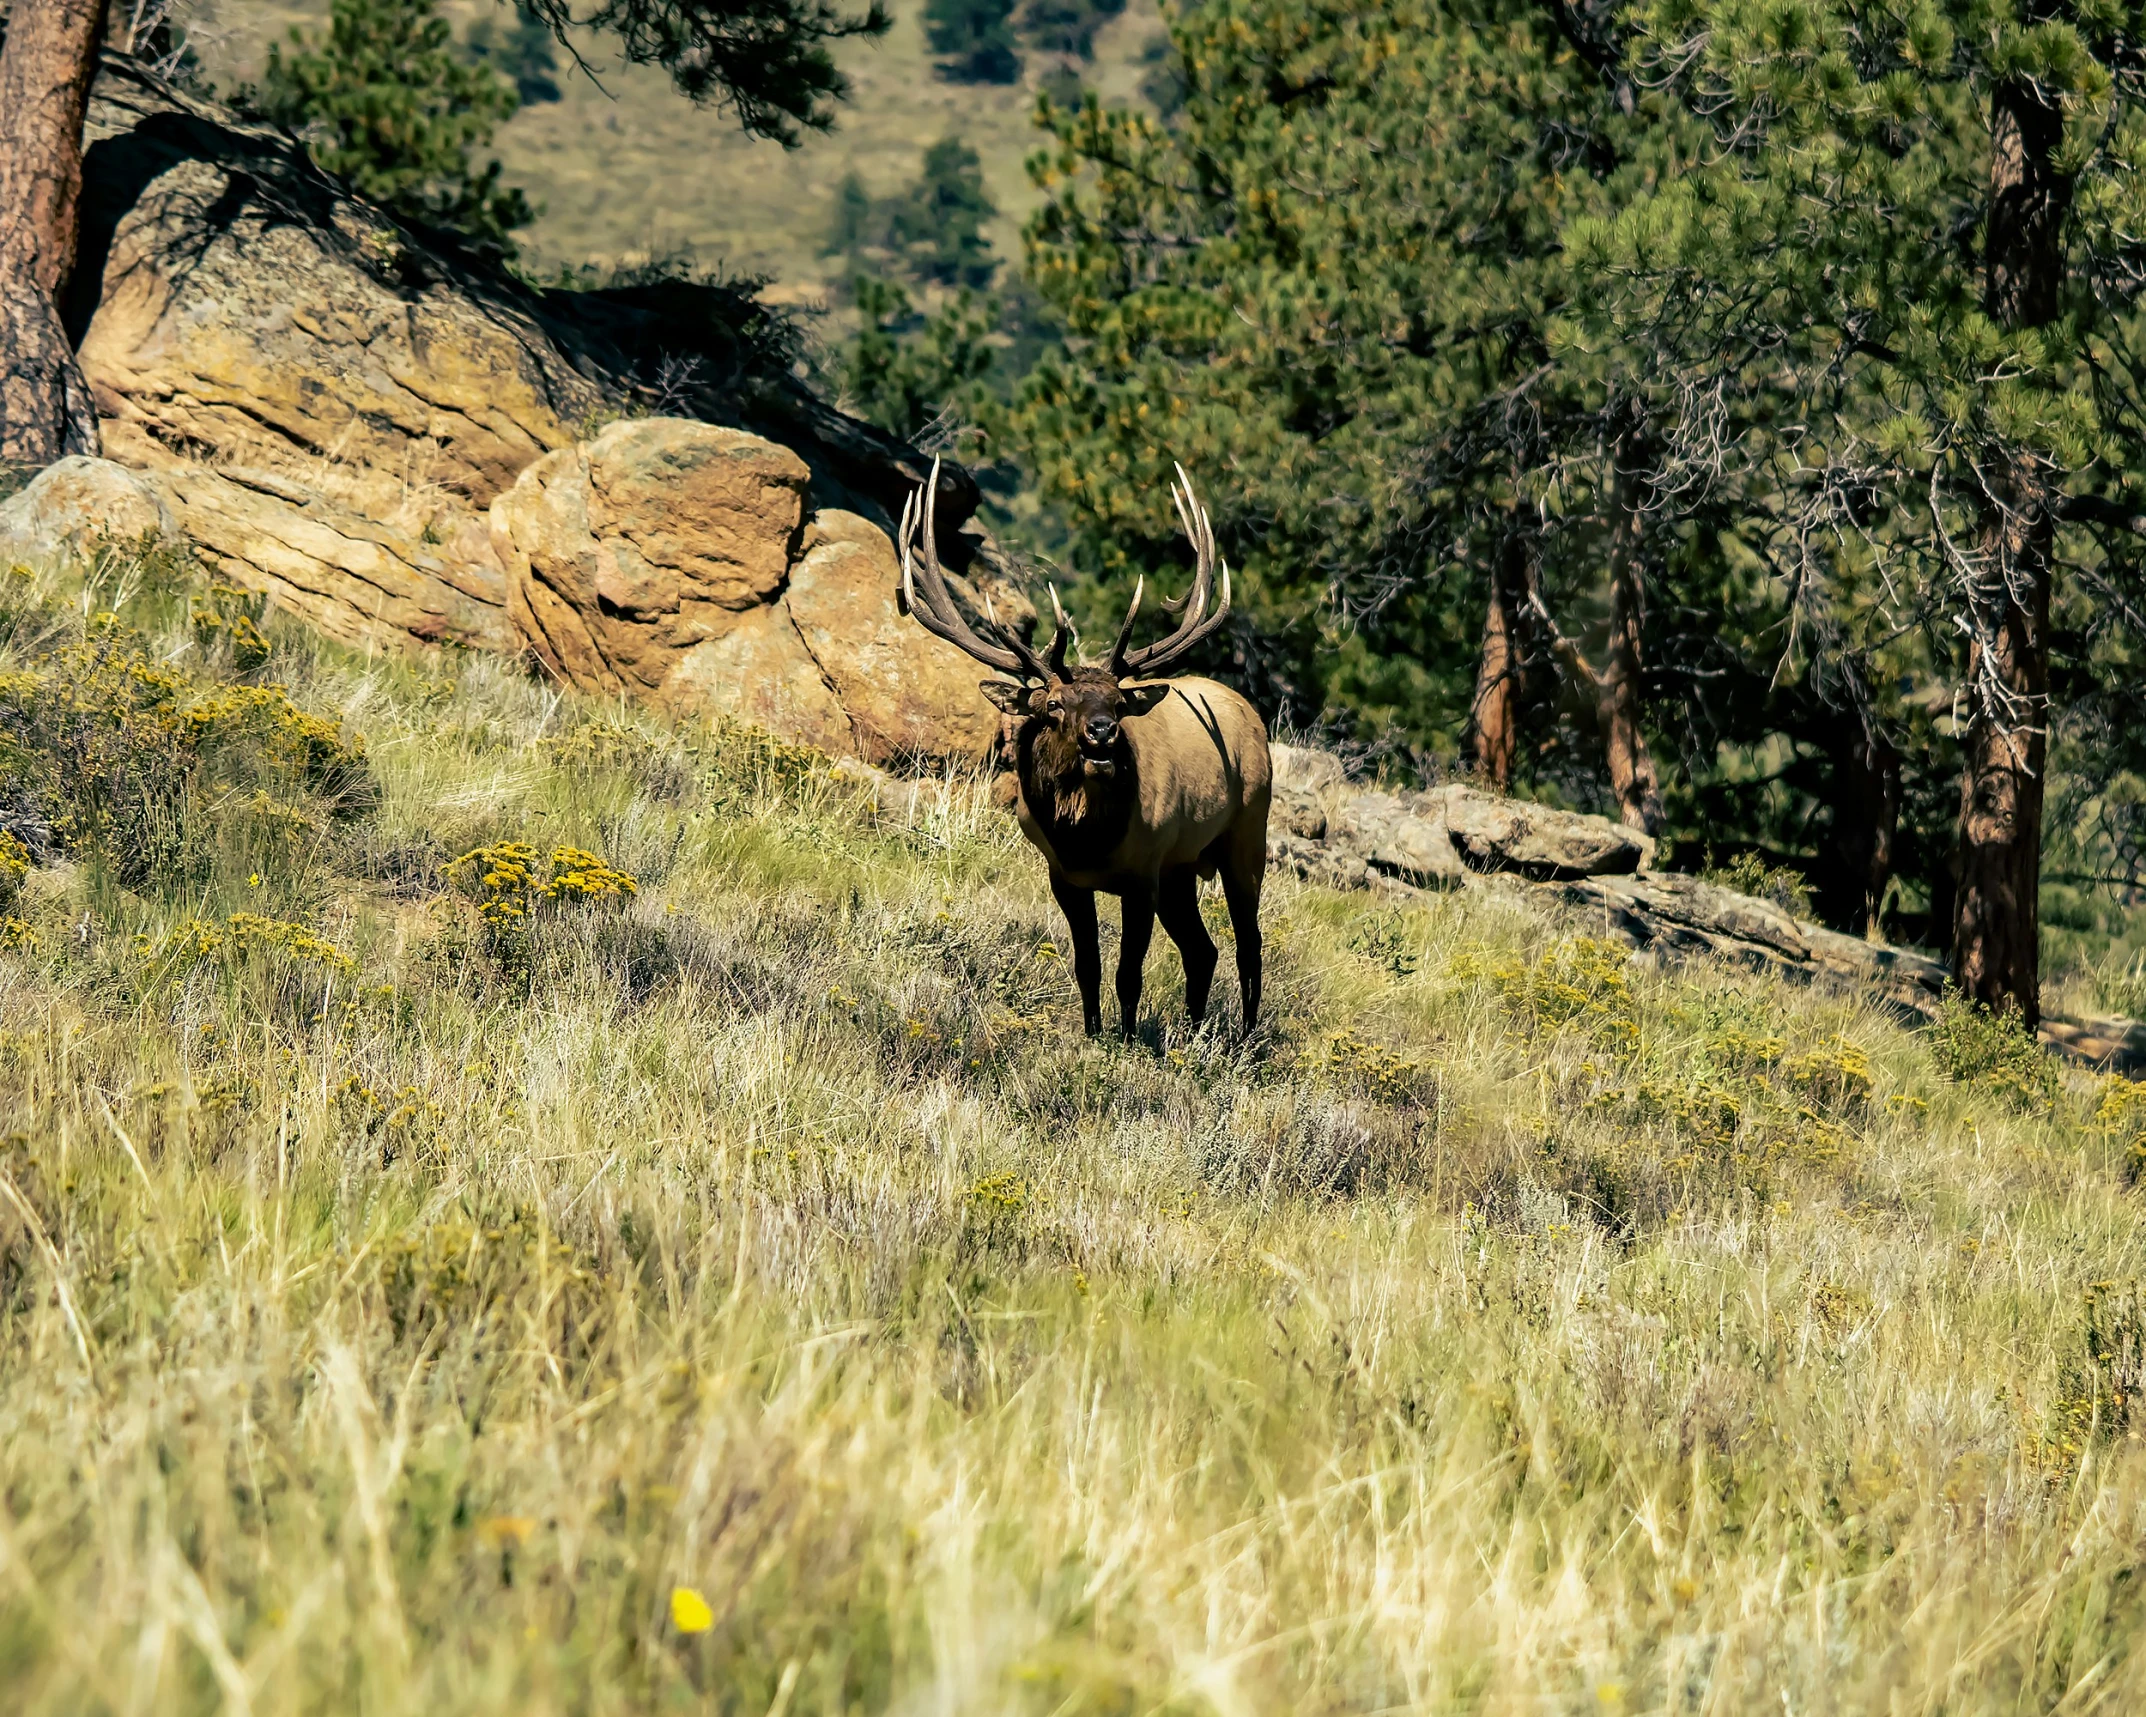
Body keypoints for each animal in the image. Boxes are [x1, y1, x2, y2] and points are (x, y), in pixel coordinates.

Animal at [897, 455, 1261, 1038]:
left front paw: (1127, 1041)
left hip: (1247, 833)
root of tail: (1250, 710)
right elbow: (1087, 965)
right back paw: (1192, 1031)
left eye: (1117, 701)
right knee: (1203, 950)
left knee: (1249, 945)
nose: (1102, 732)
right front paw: (1093, 1034)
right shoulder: (1065, 877)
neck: (1088, 840)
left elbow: (1128, 973)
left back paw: (1243, 1041)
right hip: (1183, 866)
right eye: (1053, 704)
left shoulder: (1142, 874)